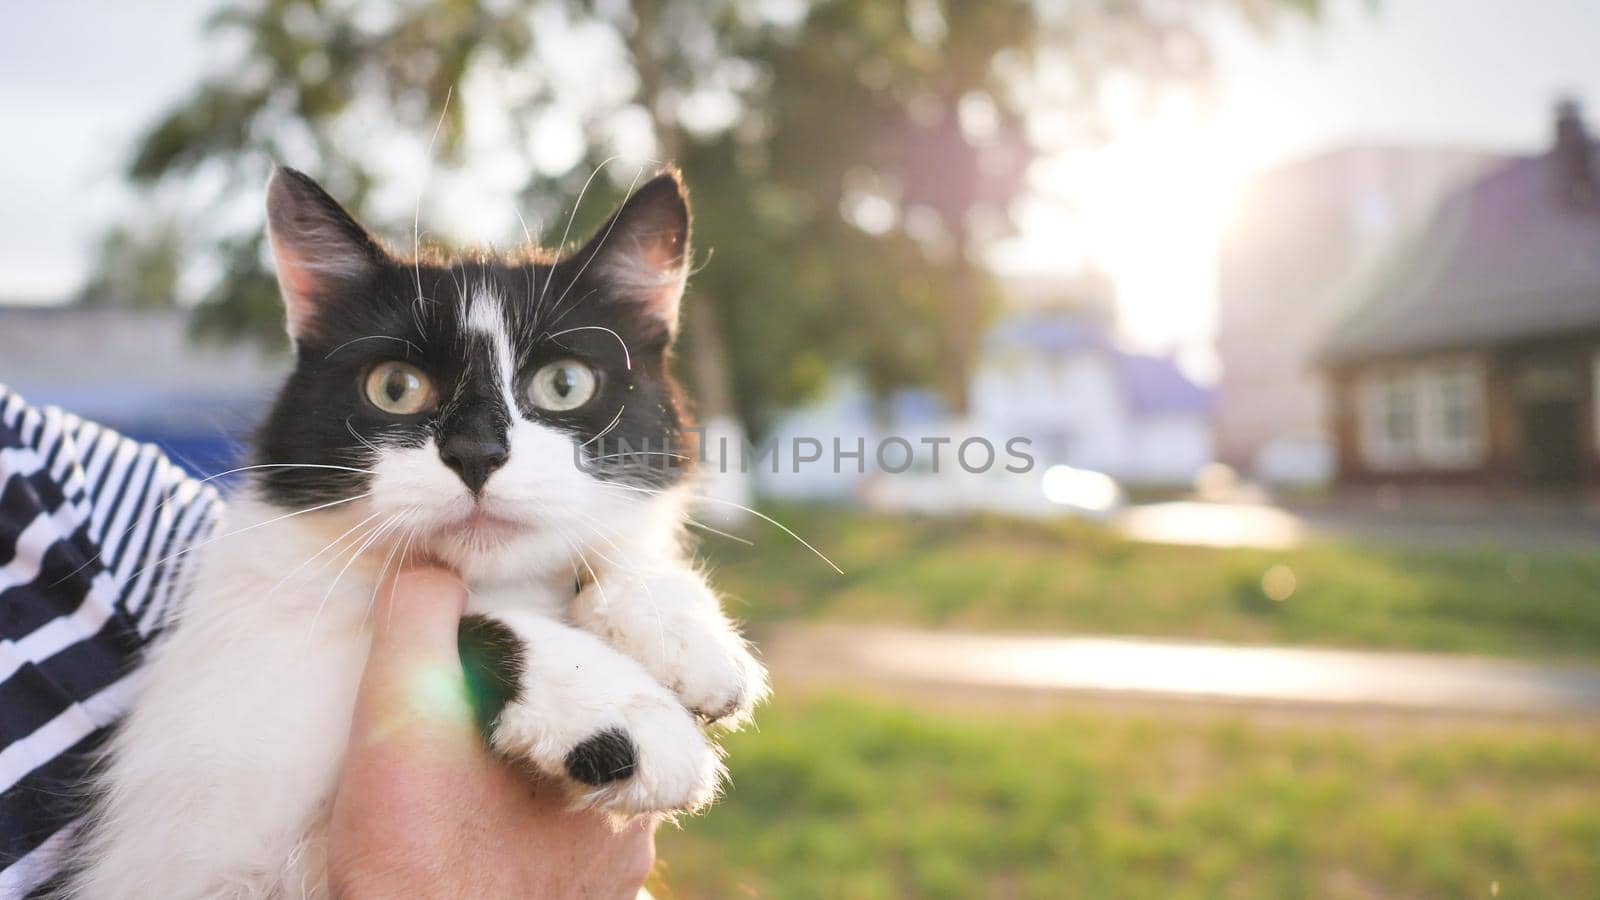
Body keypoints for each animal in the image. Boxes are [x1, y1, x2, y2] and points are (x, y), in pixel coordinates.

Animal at [60, 164, 761, 890]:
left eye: (564, 383)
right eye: (395, 387)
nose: (476, 452)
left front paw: (679, 626)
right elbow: (431, 625)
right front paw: (626, 712)